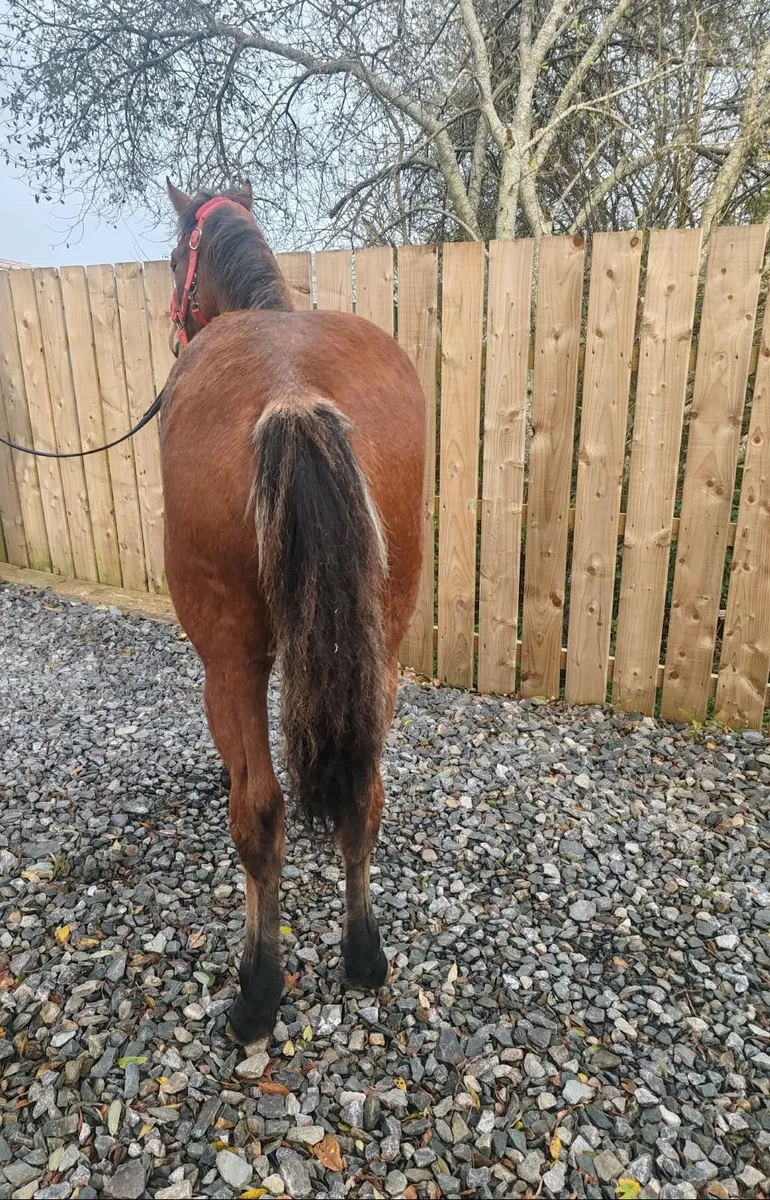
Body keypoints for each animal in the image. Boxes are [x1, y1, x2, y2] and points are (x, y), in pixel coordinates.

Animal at [161, 180, 426, 1043]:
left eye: (176, 260)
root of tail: (290, 392)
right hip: (383, 646)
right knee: (367, 796)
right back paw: (364, 954)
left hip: (231, 661)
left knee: (260, 814)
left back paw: (257, 991)